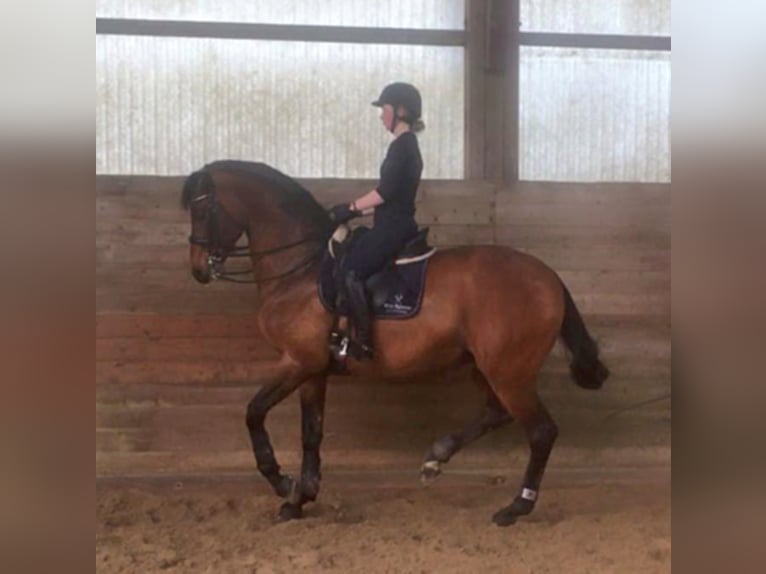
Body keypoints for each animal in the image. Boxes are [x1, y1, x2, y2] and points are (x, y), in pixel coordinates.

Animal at [182, 160, 612, 528]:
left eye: (203, 211)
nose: (199, 269)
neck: (301, 269)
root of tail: (547, 276)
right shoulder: (314, 370)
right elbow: (311, 433)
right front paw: (301, 499)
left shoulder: (297, 361)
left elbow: (253, 412)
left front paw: (282, 483)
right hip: (485, 366)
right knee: (497, 412)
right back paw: (436, 458)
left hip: (508, 371)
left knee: (540, 431)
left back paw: (515, 507)